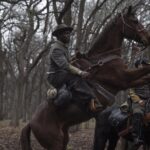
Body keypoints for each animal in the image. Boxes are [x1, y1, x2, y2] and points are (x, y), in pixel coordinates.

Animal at [20, 6, 150, 150]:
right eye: (135, 21)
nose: (148, 37)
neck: (102, 58)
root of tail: (31, 122)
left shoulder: (130, 79)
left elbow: (146, 77)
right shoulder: (124, 79)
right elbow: (146, 71)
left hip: (64, 138)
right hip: (55, 143)